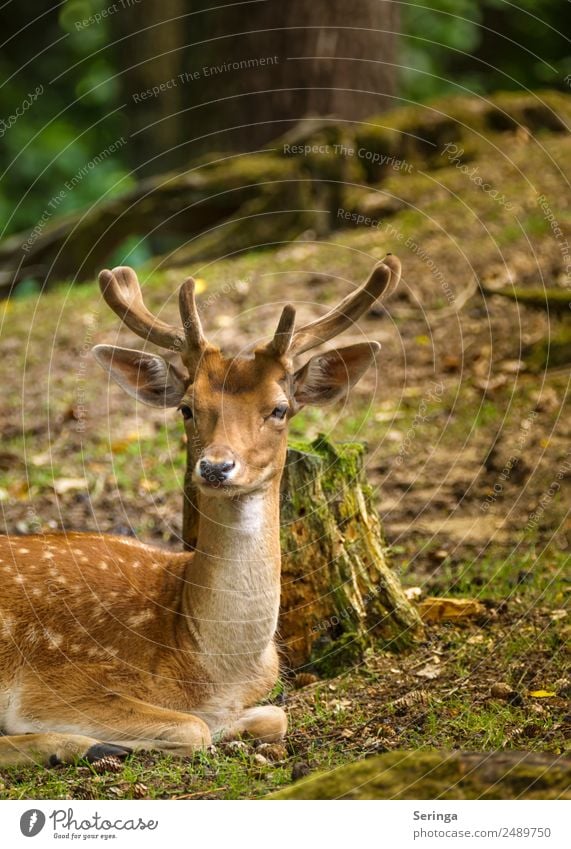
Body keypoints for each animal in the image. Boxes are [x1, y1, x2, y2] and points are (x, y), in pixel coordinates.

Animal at [0, 255, 402, 764]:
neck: (212, 665)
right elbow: (194, 728)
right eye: (187, 408)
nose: (215, 466)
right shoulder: (53, 681)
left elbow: (273, 715)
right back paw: (79, 746)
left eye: (280, 409)